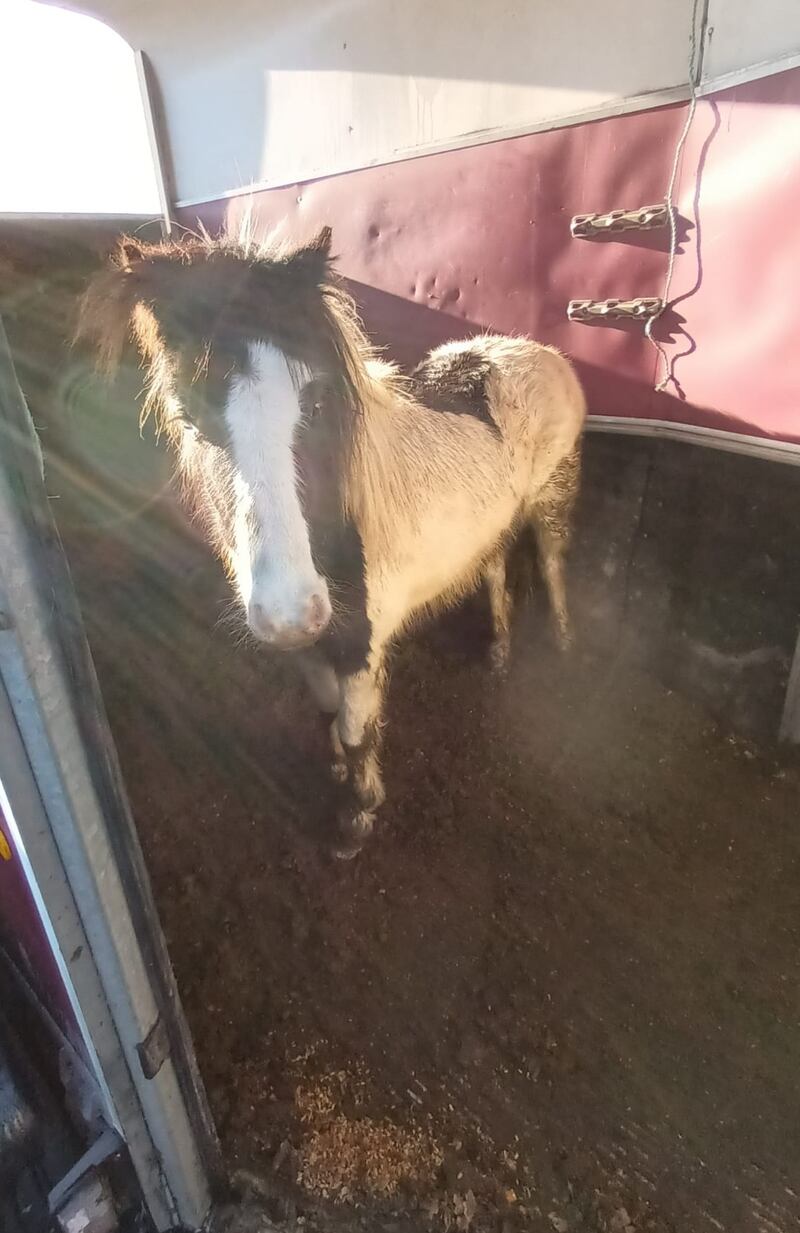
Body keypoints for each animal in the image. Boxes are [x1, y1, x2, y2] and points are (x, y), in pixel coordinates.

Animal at [76, 224, 586, 857]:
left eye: (316, 402)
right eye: (189, 416)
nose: (291, 613)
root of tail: (530, 350)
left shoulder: (360, 648)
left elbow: (356, 727)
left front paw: (357, 818)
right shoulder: (311, 648)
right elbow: (324, 712)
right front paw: (339, 774)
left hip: (551, 500)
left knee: (552, 563)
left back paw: (560, 644)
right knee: (493, 569)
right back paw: (498, 651)